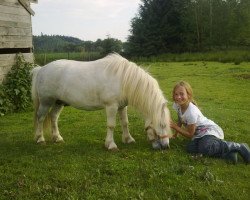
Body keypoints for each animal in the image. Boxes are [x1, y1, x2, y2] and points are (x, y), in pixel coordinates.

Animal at [31, 53, 172, 150]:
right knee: (41, 118)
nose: (166, 146)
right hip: (46, 102)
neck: (123, 79)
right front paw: (111, 145)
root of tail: (41, 69)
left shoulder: (122, 106)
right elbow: (111, 125)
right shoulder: (111, 106)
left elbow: (125, 123)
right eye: (162, 124)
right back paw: (40, 139)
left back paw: (57, 138)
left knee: (54, 117)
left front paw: (128, 139)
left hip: (59, 102)